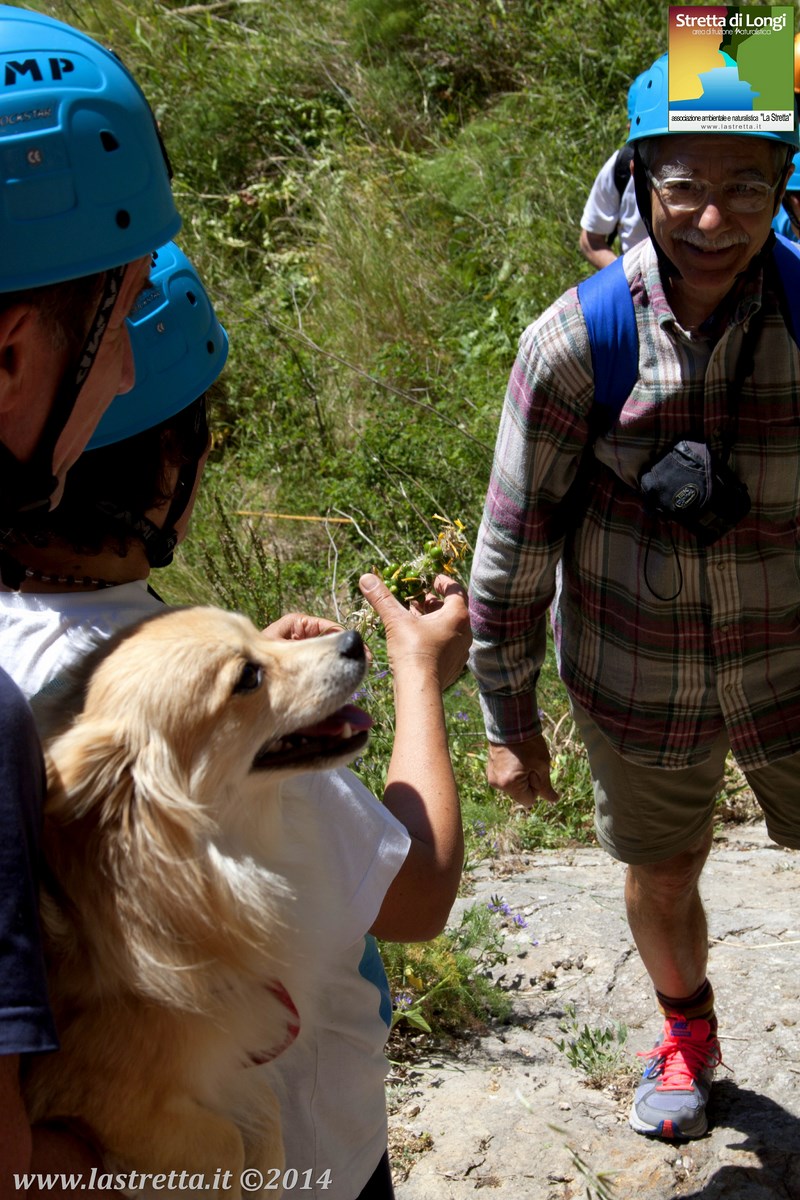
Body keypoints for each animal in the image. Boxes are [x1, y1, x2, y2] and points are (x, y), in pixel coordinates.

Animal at [23, 606, 372, 1194]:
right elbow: (223, 1142)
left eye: (259, 634)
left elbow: (263, 1107)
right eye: (248, 677)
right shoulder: (98, 1095)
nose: (354, 639)